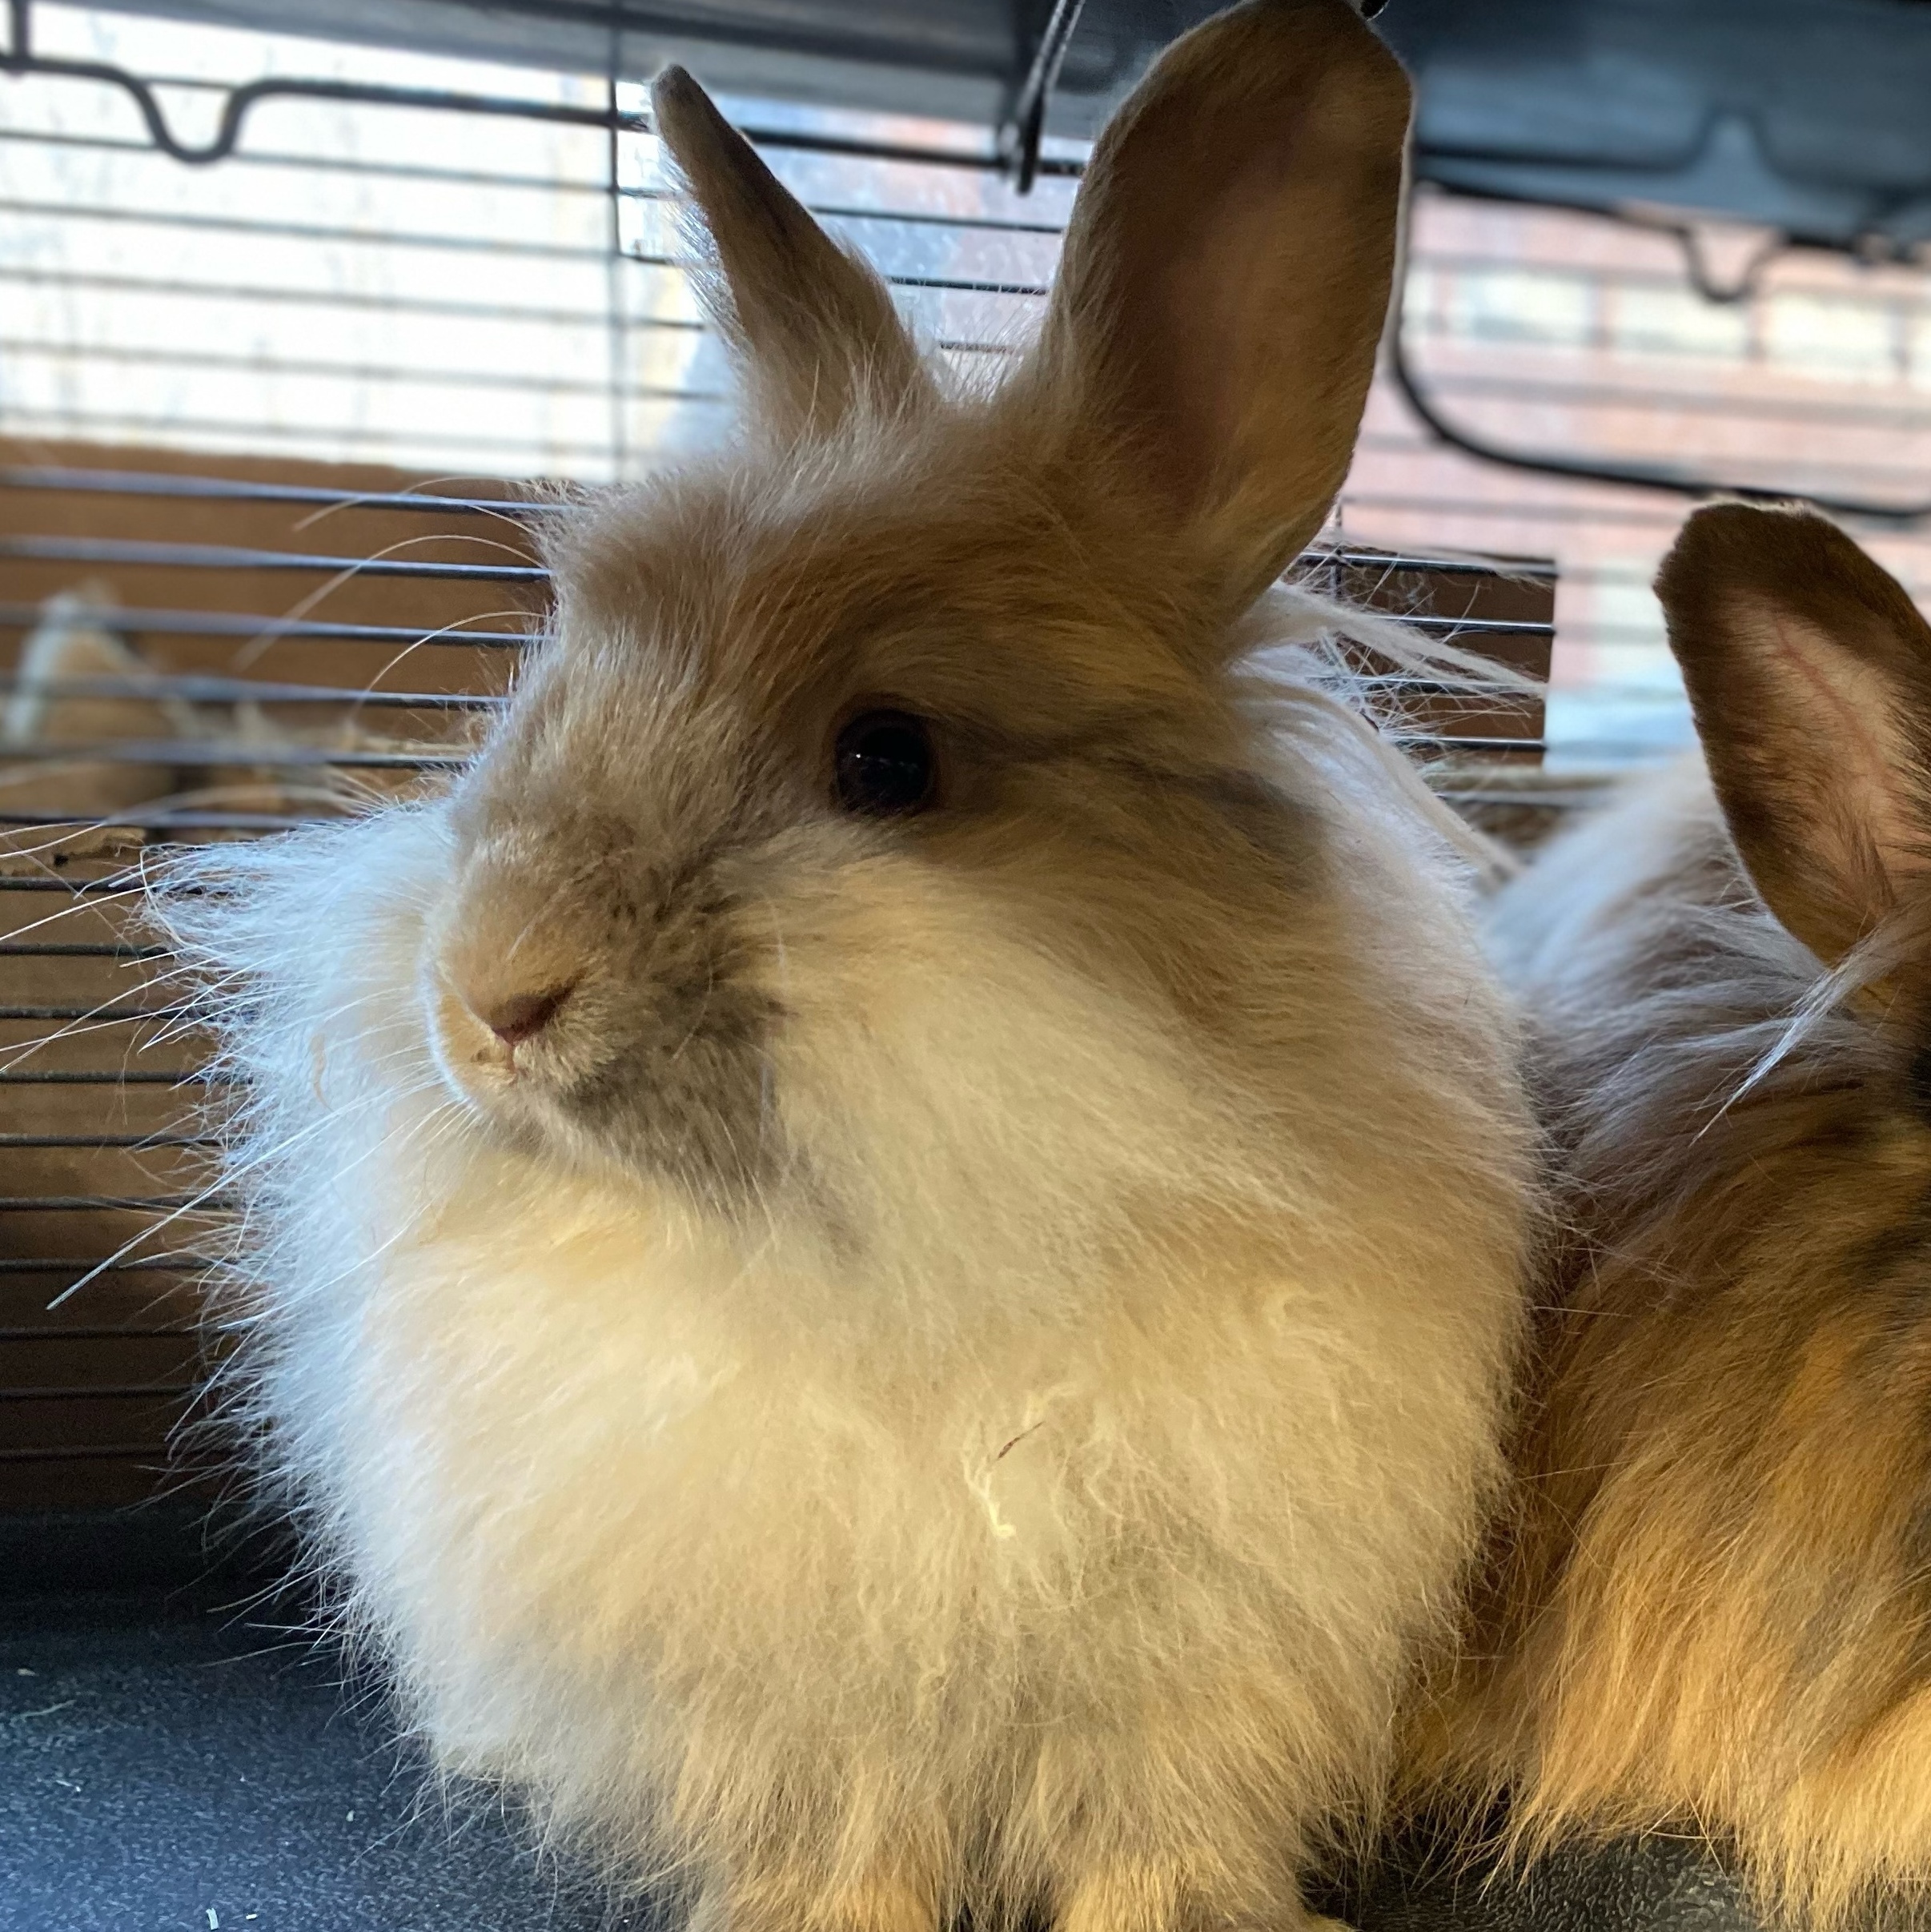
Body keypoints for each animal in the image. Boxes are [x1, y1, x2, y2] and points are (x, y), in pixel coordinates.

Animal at [152, 5, 1533, 1929]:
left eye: (888, 760)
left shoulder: (1192, 1685)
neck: (914, 1263)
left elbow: (1154, 1838)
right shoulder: (807, 1718)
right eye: (541, 682)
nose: (489, 999)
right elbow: (847, 1841)